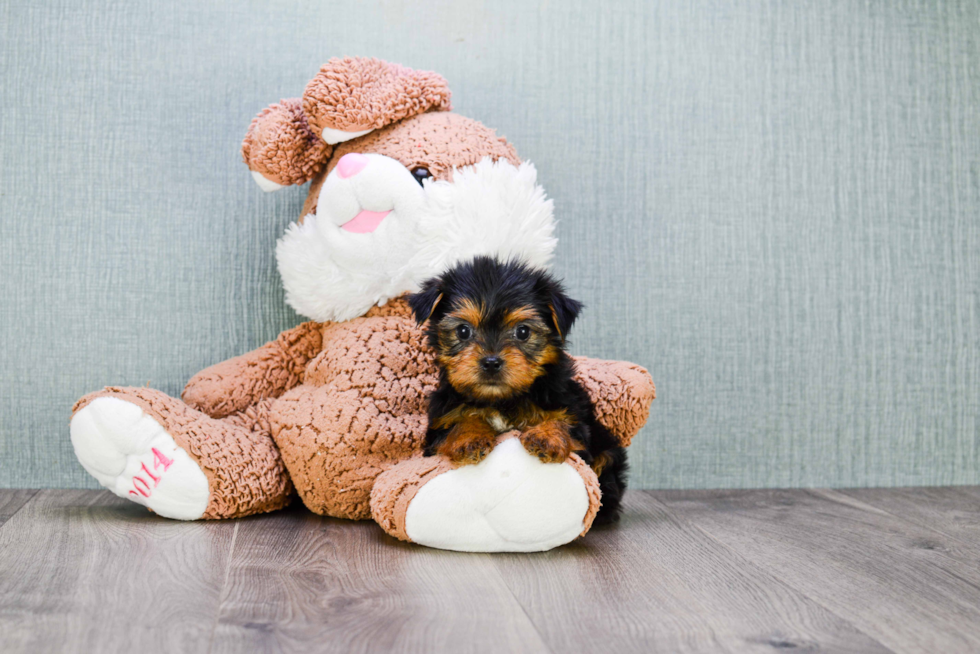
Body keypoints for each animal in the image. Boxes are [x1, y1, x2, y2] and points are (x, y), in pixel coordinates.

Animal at [408, 255, 628, 524]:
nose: (491, 362)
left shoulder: (571, 410)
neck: (501, 399)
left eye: (523, 332)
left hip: (607, 449)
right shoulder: (440, 423)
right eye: (463, 330)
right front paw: (470, 438)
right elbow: (458, 423)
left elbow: (563, 422)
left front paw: (546, 437)